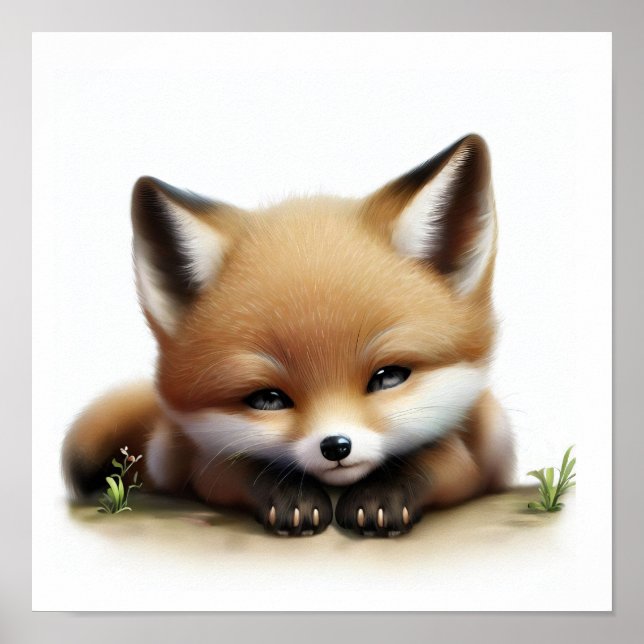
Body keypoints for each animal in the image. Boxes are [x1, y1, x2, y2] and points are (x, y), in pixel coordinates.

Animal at [62, 134, 515, 537]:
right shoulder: (199, 459)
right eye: (267, 399)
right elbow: (239, 467)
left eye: (388, 377)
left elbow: (441, 457)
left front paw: (382, 498)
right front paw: (292, 499)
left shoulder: (484, 446)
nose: (336, 446)